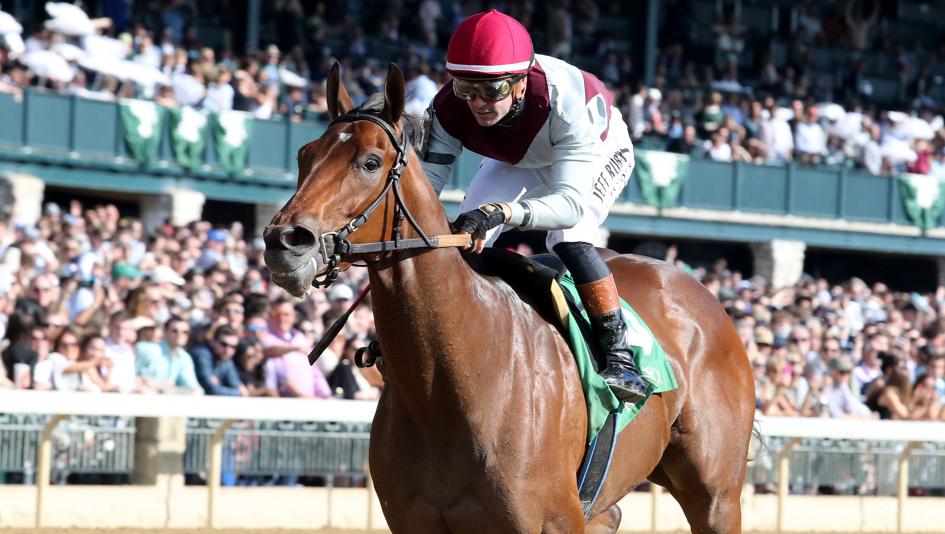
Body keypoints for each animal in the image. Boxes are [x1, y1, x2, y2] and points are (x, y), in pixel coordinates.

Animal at [263, 62, 755, 533]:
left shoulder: (553, 521)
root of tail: (701, 291)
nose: (284, 241)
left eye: (369, 162)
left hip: (716, 497)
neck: (449, 382)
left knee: (572, 237)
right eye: (304, 155)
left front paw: (483, 220)